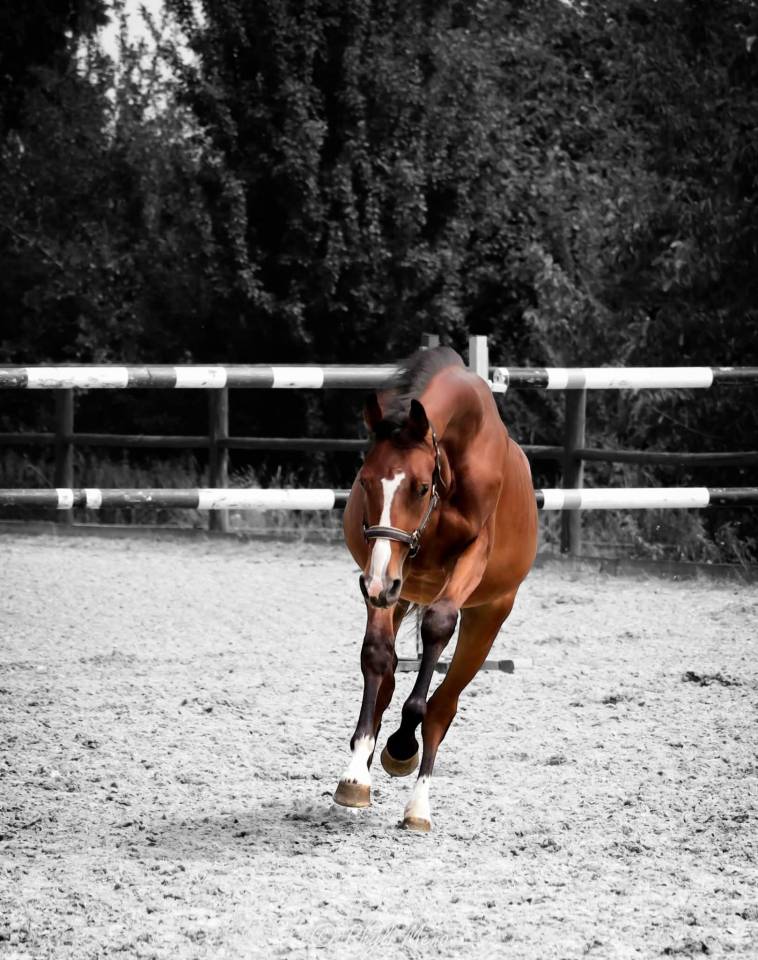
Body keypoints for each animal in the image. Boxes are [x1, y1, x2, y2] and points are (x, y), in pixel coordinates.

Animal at [334, 346, 538, 831]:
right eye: (365, 481)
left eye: (421, 486)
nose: (377, 584)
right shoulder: (390, 571)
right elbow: (377, 657)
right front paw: (355, 775)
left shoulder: (470, 558)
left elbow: (439, 629)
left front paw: (401, 745)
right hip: (404, 590)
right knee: (389, 677)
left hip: (488, 616)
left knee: (443, 704)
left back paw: (417, 804)